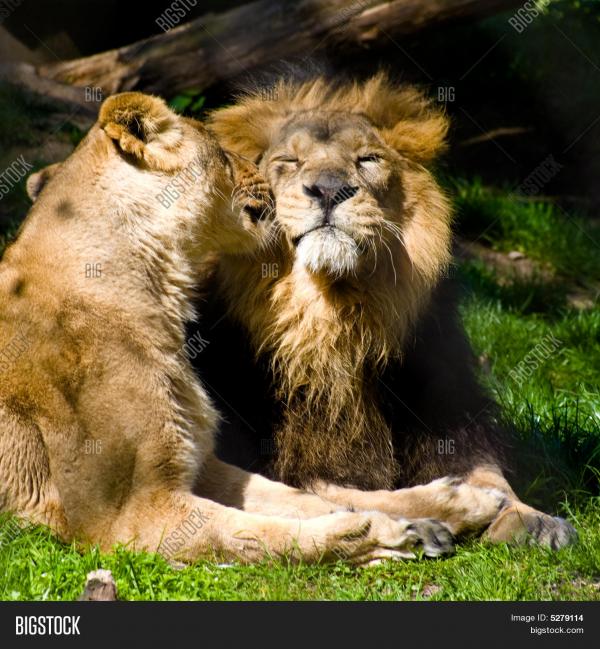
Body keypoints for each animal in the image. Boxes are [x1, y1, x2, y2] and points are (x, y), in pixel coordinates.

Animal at [2, 91, 506, 566]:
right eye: (225, 154)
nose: (273, 176)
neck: (157, 290)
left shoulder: (200, 462)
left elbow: (300, 496)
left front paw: (443, 510)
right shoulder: (123, 514)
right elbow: (253, 533)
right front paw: (379, 535)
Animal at [196, 72, 576, 549]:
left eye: (368, 159)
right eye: (288, 161)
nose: (328, 190)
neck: (329, 319)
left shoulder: (446, 408)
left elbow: (489, 473)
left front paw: (531, 516)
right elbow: (329, 490)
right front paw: (449, 507)